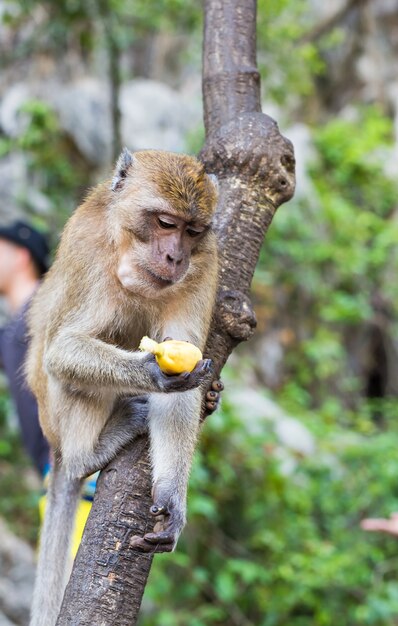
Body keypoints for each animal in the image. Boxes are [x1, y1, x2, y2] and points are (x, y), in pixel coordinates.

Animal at [26, 147, 219, 624]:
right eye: (165, 223)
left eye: (191, 231)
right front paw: (153, 372)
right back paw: (87, 455)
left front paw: (171, 499)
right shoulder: (88, 250)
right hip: (56, 418)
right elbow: (61, 351)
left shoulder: (205, 265)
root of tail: (56, 446)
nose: (175, 258)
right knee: (71, 376)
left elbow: (182, 394)